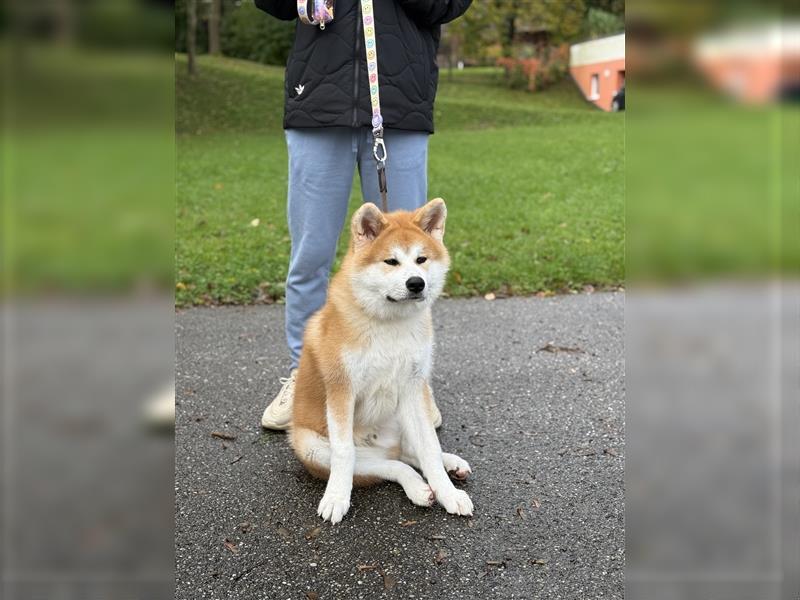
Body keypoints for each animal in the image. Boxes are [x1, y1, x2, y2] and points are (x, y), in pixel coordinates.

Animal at [290, 199, 472, 524]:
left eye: (421, 259)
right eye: (391, 262)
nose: (416, 283)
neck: (389, 325)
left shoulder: (414, 388)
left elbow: (429, 449)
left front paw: (448, 493)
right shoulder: (342, 390)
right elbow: (344, 454)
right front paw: (336, 498)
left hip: (404, 414)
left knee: (407, 454)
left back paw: (449, 465)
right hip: (312, 446)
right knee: (387, 465)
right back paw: (417, 487)